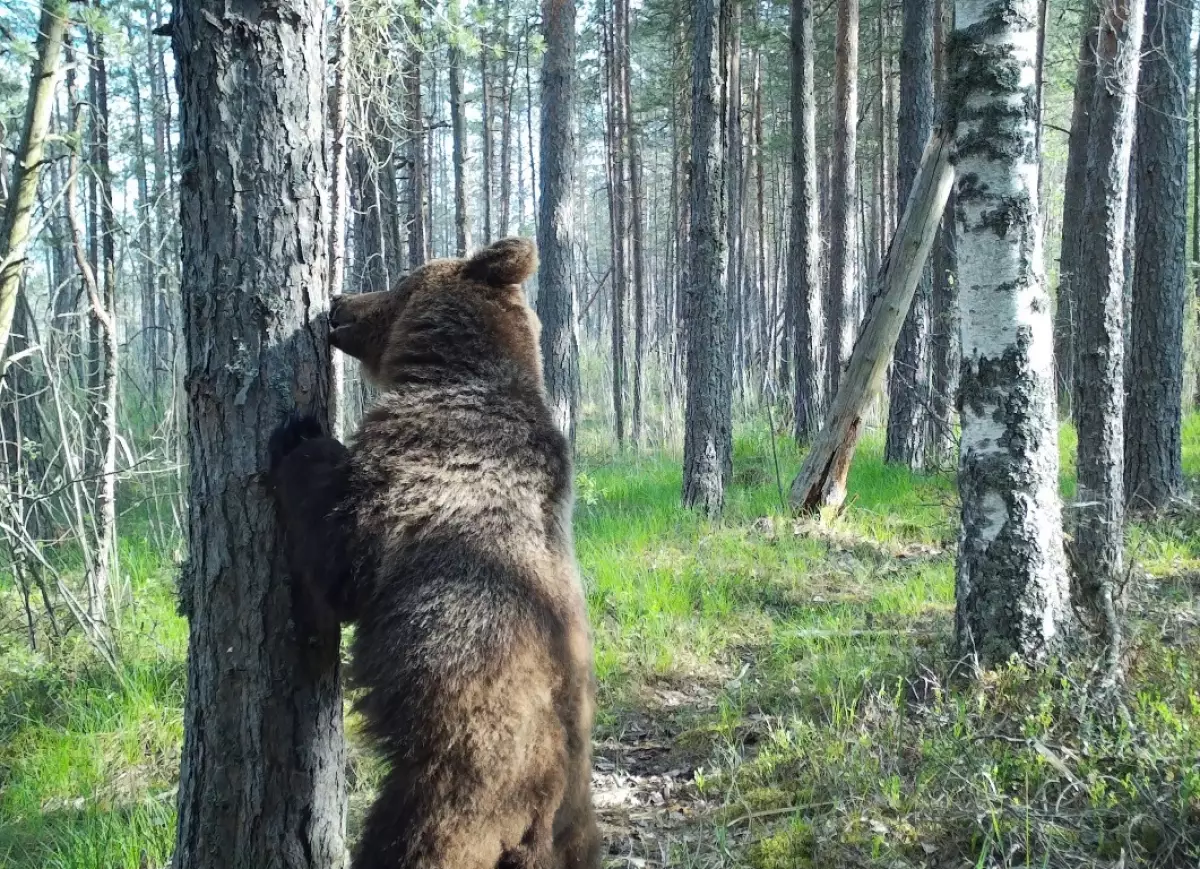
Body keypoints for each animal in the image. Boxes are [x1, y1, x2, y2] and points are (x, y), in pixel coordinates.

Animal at [266, 236, 595, 869]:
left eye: (398, 279)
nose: (337, 302)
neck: (450, 368)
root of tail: (540, 815)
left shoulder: (421, 465)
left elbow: (344, 557)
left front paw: (299, 436)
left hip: (453, 783)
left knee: (411, 840)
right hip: (568, 826)